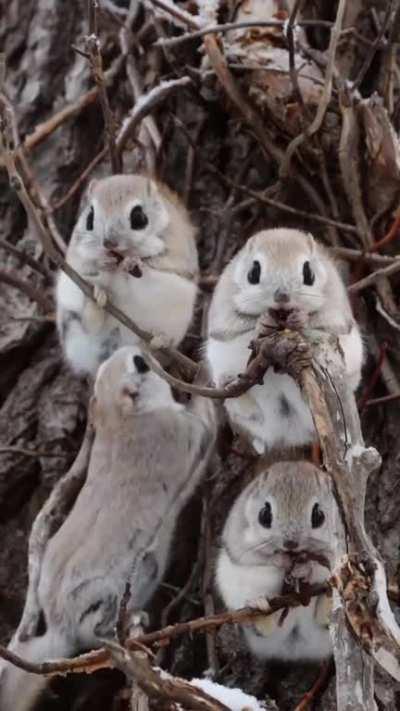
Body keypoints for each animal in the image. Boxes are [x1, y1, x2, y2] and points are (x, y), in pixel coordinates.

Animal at [0, 346, 216, 711]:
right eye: (139, 365)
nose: (143, 350)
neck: (120, 419)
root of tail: (59, 627)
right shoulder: (180, 431)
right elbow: (208, 420)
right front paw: (204, 368)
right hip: (125, 582)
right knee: (99, 632)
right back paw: (132, 622)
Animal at [56, 174, 198, 376]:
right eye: (90, 217)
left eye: (138, 217)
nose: (108, 243)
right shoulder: (77, 257)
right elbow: (87, 261)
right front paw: (103, 263)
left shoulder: (177, 254)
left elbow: (158, 262)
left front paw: (136, 261)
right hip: (73, 324)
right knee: (90, 325)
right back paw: (97, 299)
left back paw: (159, 340)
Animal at [206, 228, 363, 453]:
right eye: (253, 273)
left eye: (309, 273)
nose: (282, 296)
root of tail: (289, 435)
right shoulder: (223, 308)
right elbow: (232, 326)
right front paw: (262, 323)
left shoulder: (336, 308)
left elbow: (329, 321)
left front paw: (301, 319)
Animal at [216, 460, 339, 661]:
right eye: (264, 515)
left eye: (319, 516)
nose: (290, 543)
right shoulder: (239, 541)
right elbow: (259, 559)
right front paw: (282, 561)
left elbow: (323, 565)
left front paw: (305, 569)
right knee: (262, 630)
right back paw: (258, 609)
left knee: (323, 621)